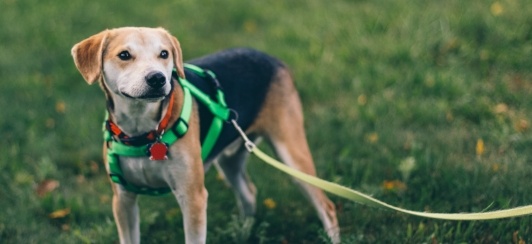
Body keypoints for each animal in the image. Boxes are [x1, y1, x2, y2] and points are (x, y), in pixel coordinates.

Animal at [70, 27, 338, 244]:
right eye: (124, 55)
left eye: (164, 54)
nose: (158, 78)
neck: (144, 132)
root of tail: (271, 58)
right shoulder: (123, 200)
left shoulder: (193, 197)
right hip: (229, 161)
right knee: (249, 193)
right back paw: (244, 232)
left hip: (292, 156)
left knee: (327, 207)